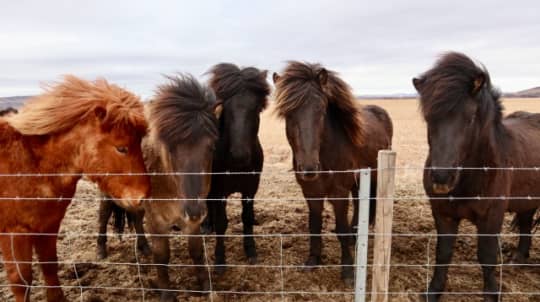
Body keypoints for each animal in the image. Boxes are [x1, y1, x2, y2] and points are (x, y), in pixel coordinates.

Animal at [0, 75, 150, 302]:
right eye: (121, 148)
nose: (144, 197)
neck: (32, 165)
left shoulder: (48, 225)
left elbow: (50, 267)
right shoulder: (14, 233)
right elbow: (21, 281)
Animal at [142, 73, 223, 302]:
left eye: (212, 146)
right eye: (168, 148)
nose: (194, 210)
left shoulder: (194, 222)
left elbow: (196, 250)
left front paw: (205, 286)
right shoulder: (156, 222)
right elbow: (162, 256)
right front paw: (166, 293)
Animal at [202, 62, 270, 272]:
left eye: (256, 108)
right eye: (225, 107)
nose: (239, 156)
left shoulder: (250, 188)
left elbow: (246, 217)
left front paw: (251, 252)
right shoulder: (219, 190)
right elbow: (221, 223)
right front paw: (220, 260)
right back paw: (206, 226)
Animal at [274, 62, 392, 286]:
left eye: (321, 109)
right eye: (287, 113)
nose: (309, 168)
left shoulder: (339, 192)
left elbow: (341, 229)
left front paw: (348, 271)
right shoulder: (311, 192)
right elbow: (314, 225)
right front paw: (313, 260)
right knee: (359, 203)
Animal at [416, 50, 540, 300]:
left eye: (471, 118)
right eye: (429, 118)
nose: (442, 178)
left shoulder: (491, 216)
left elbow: (487, 256)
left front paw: (492, 294)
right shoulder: (443, 214)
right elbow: (443, 253)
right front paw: (433, 290)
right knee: (525, 221)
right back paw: (519, 258)